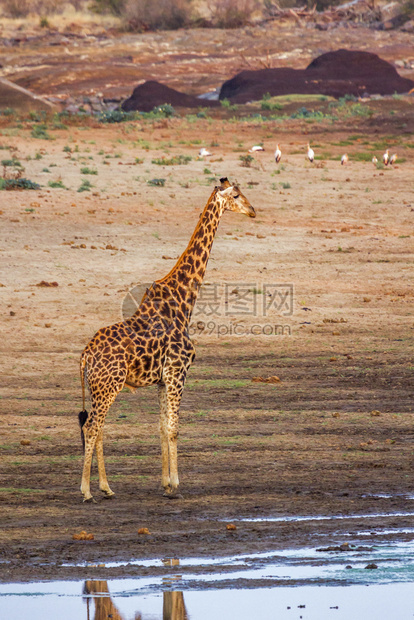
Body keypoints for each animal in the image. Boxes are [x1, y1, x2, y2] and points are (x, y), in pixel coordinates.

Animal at [77, 177, 252, 502]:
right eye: (236, 195)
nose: (253, 210)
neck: (184, 301)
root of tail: (84, 356)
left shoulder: (162, 379)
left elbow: (160, 427)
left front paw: (164, 483)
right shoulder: (177, 372)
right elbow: (173, 428)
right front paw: (175, 485)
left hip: (99, 387)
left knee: (97, 426)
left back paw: (106, 487)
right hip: (109, 385)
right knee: (93, 426)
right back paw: (86, 491)